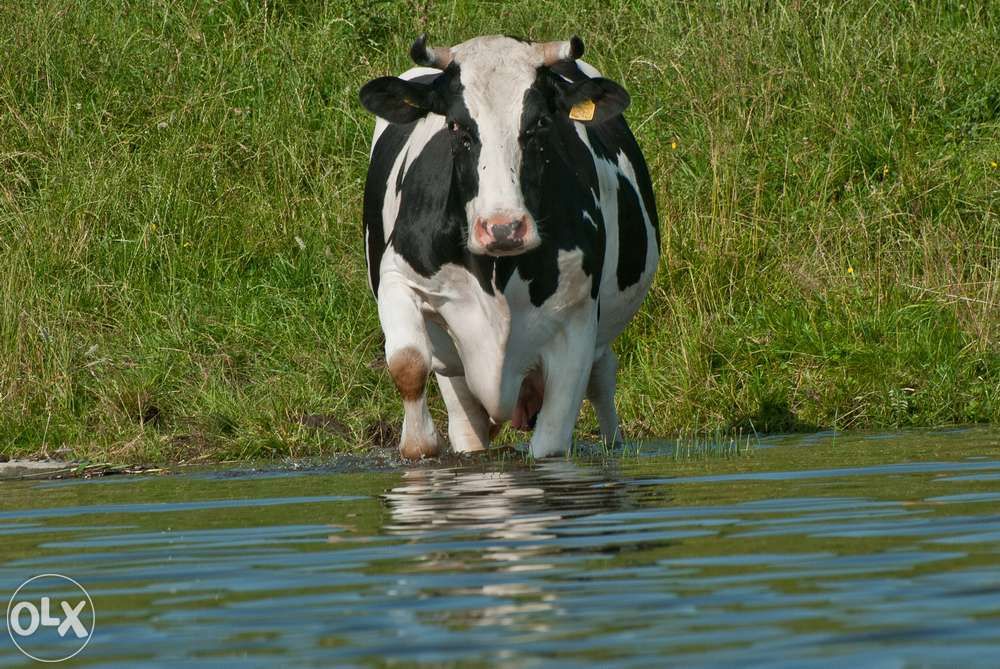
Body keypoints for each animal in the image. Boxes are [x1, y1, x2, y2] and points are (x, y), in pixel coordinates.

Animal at [358, 34, 656, 456]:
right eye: (456, 126)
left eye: (540, 123)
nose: (503, 229)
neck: (496, 272)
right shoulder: (398, 276)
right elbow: (408, 364)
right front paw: (419, 443)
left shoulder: (577, 319)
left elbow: (552, 442)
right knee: (465, 417)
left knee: (602, 382)